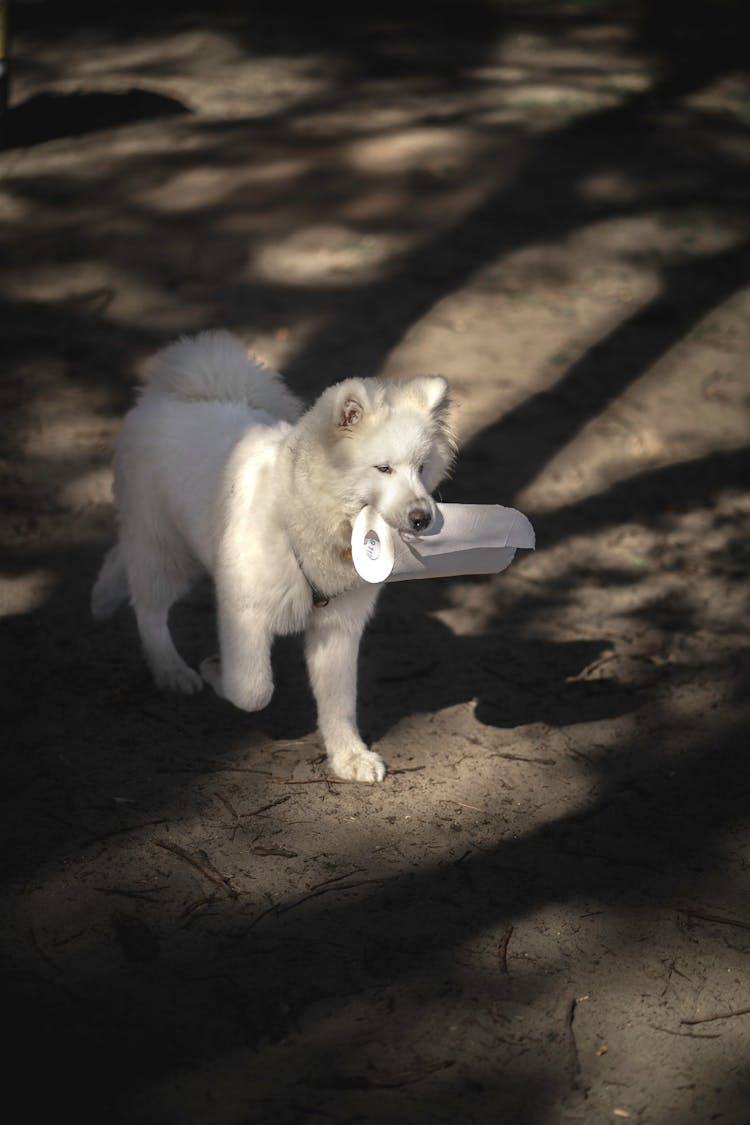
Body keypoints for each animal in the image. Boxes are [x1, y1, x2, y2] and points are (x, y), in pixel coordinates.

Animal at [93, 328, 458, 778]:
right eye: (383, 468)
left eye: (422, 468)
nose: (424, 517)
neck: (303, 519)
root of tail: (172, 396)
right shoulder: (244, 612)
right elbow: (252, 689)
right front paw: (215, 670)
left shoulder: (338, 629)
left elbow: (340, 705)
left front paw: (349, 758)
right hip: (165, 552)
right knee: (148, 610)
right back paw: (171, 670)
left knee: (124, 564)